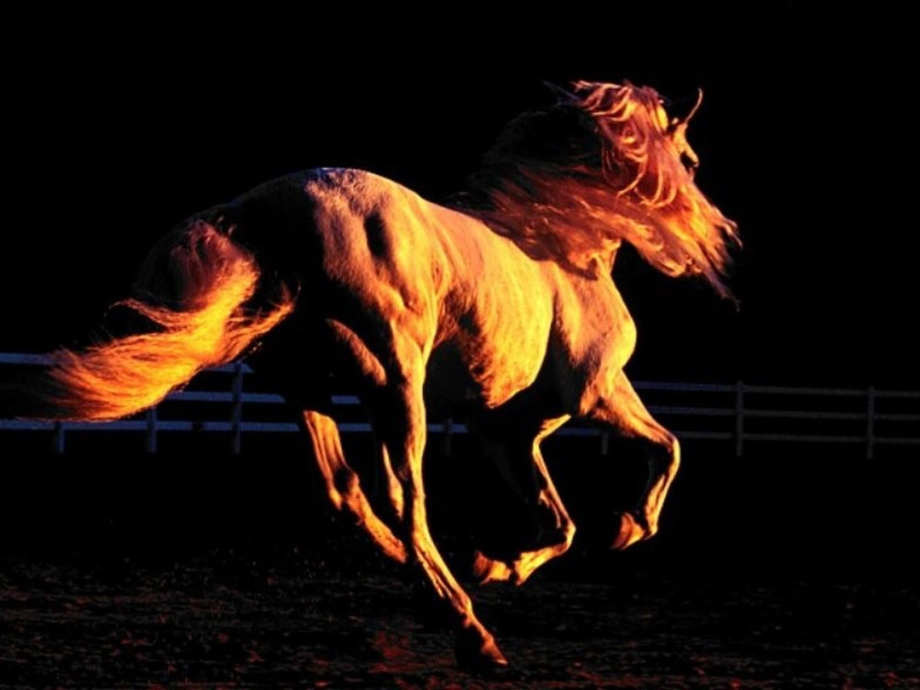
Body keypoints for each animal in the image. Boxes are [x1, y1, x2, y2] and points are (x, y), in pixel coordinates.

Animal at [12, 80, 737, 667]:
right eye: (692, 162)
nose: (711, 221)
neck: (564, 243)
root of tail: (267, 209)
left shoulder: (508, 432)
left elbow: (559, 521)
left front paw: (497, 564)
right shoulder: (590, 397)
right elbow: (665, 450)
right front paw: (624, 529)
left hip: (306, 384)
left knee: (343, 490)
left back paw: (429, 584)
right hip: (394, 382)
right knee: (402, 496)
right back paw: (468, 631)